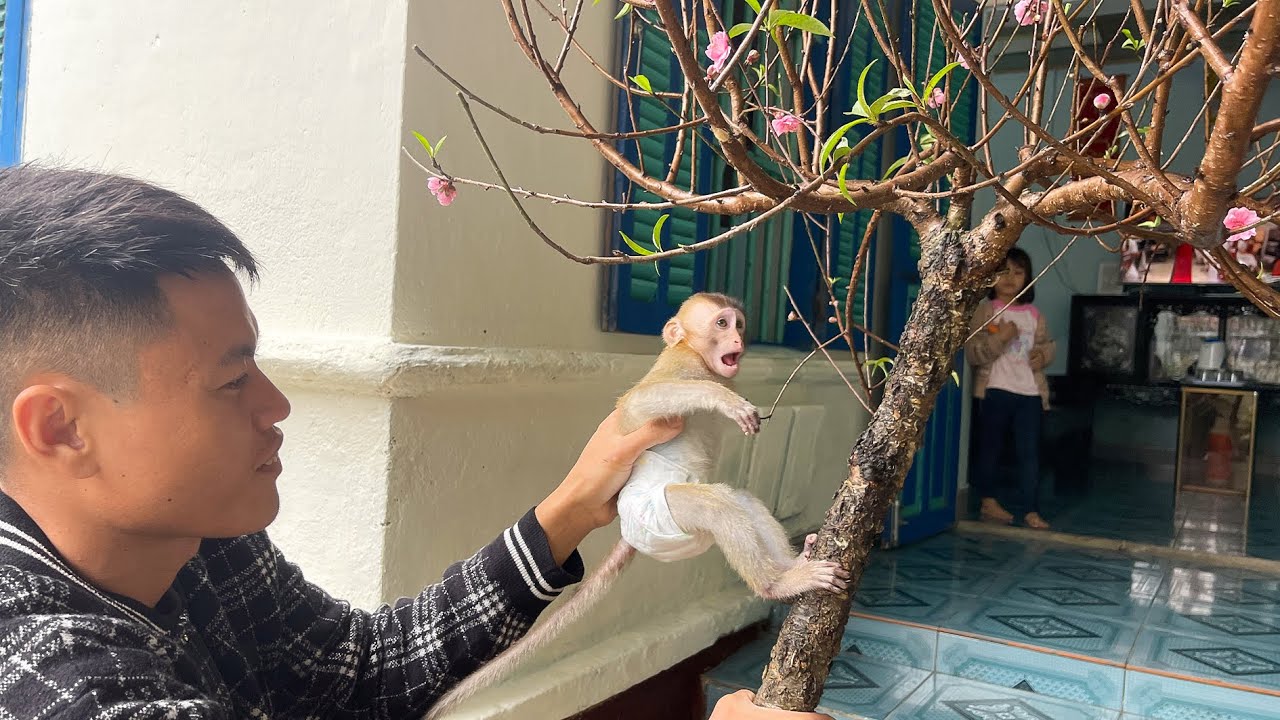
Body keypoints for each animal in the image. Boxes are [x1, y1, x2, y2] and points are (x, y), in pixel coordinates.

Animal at [424, 293, 847, 720]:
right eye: (722, 323)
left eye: (739, 324)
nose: (739, 340)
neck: (700, 359)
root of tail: (630, 533)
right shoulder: (680, 368)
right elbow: (639, 405)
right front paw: (725, 402)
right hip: (659, 517)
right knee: (719, 505)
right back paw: (777, 584)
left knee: (739, 499)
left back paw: (794, 563)